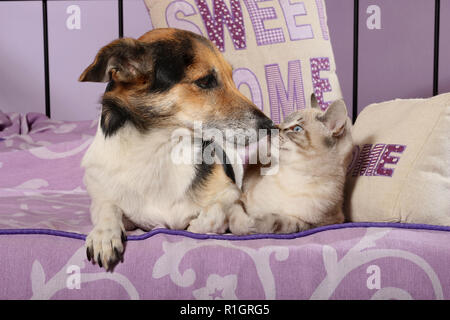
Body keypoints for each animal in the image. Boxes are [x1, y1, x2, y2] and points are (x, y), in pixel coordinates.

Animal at [79, 28, 274, 272]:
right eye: (205, 81)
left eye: (232, 77)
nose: (271, 126)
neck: (161, 150)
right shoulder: (105, 197)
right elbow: (107, 208)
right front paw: (103, 235)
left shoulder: (231, 193)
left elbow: (214, 212)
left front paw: (199, 223)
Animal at [241, 99, 354, 234]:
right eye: (282, 122)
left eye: (296, 128)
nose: (271, 128)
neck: (295, 176)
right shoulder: (244, 198)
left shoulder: (321, 223)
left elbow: (284, 223)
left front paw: (257, 223)